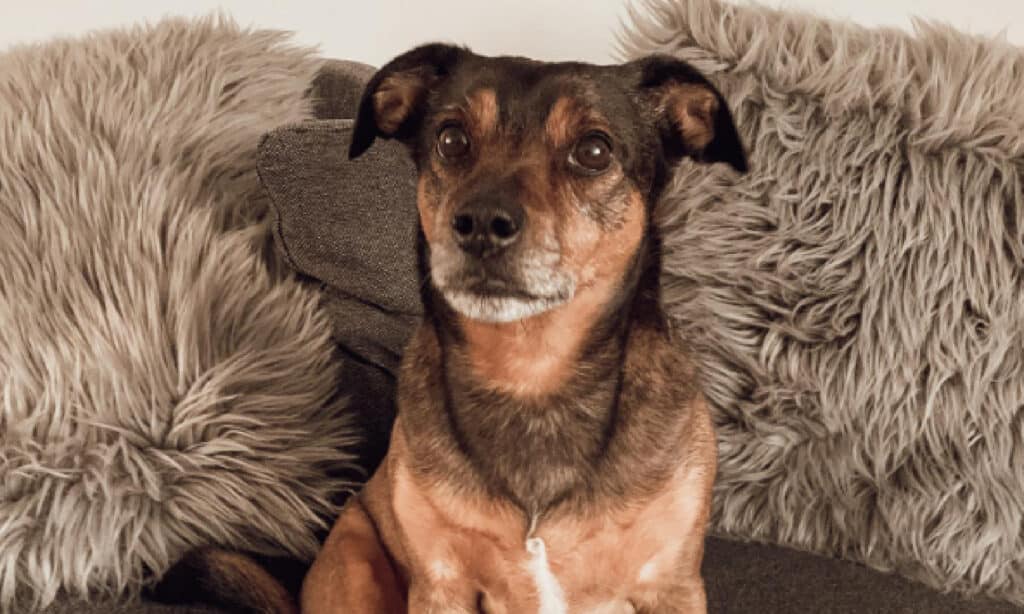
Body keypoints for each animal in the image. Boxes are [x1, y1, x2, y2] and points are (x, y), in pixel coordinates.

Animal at [299, 44, 749, 614]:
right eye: (451, 139)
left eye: (594, 150)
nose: (481, 223)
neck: (531, 373)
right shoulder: (440, 584)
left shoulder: (670, 584)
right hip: (353, 565)